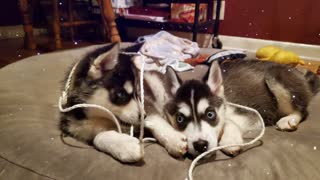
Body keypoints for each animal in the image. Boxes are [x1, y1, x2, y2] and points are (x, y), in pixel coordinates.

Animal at [60, 43, 188, 163]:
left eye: (138, 93)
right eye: (121, 95)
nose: (144, 116)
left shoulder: (147, 103)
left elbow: (154, 119)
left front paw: (174, 140)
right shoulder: (78, 129)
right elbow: (98, 137)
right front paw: (127, 146)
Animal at [165, 59, 320, 157]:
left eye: (210, 114)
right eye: (180, 119)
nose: (200, 145)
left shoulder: (251, 114)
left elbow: (229, 121)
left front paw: (230, 140)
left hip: (275, 77)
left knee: (303, 110)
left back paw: (289, 120)